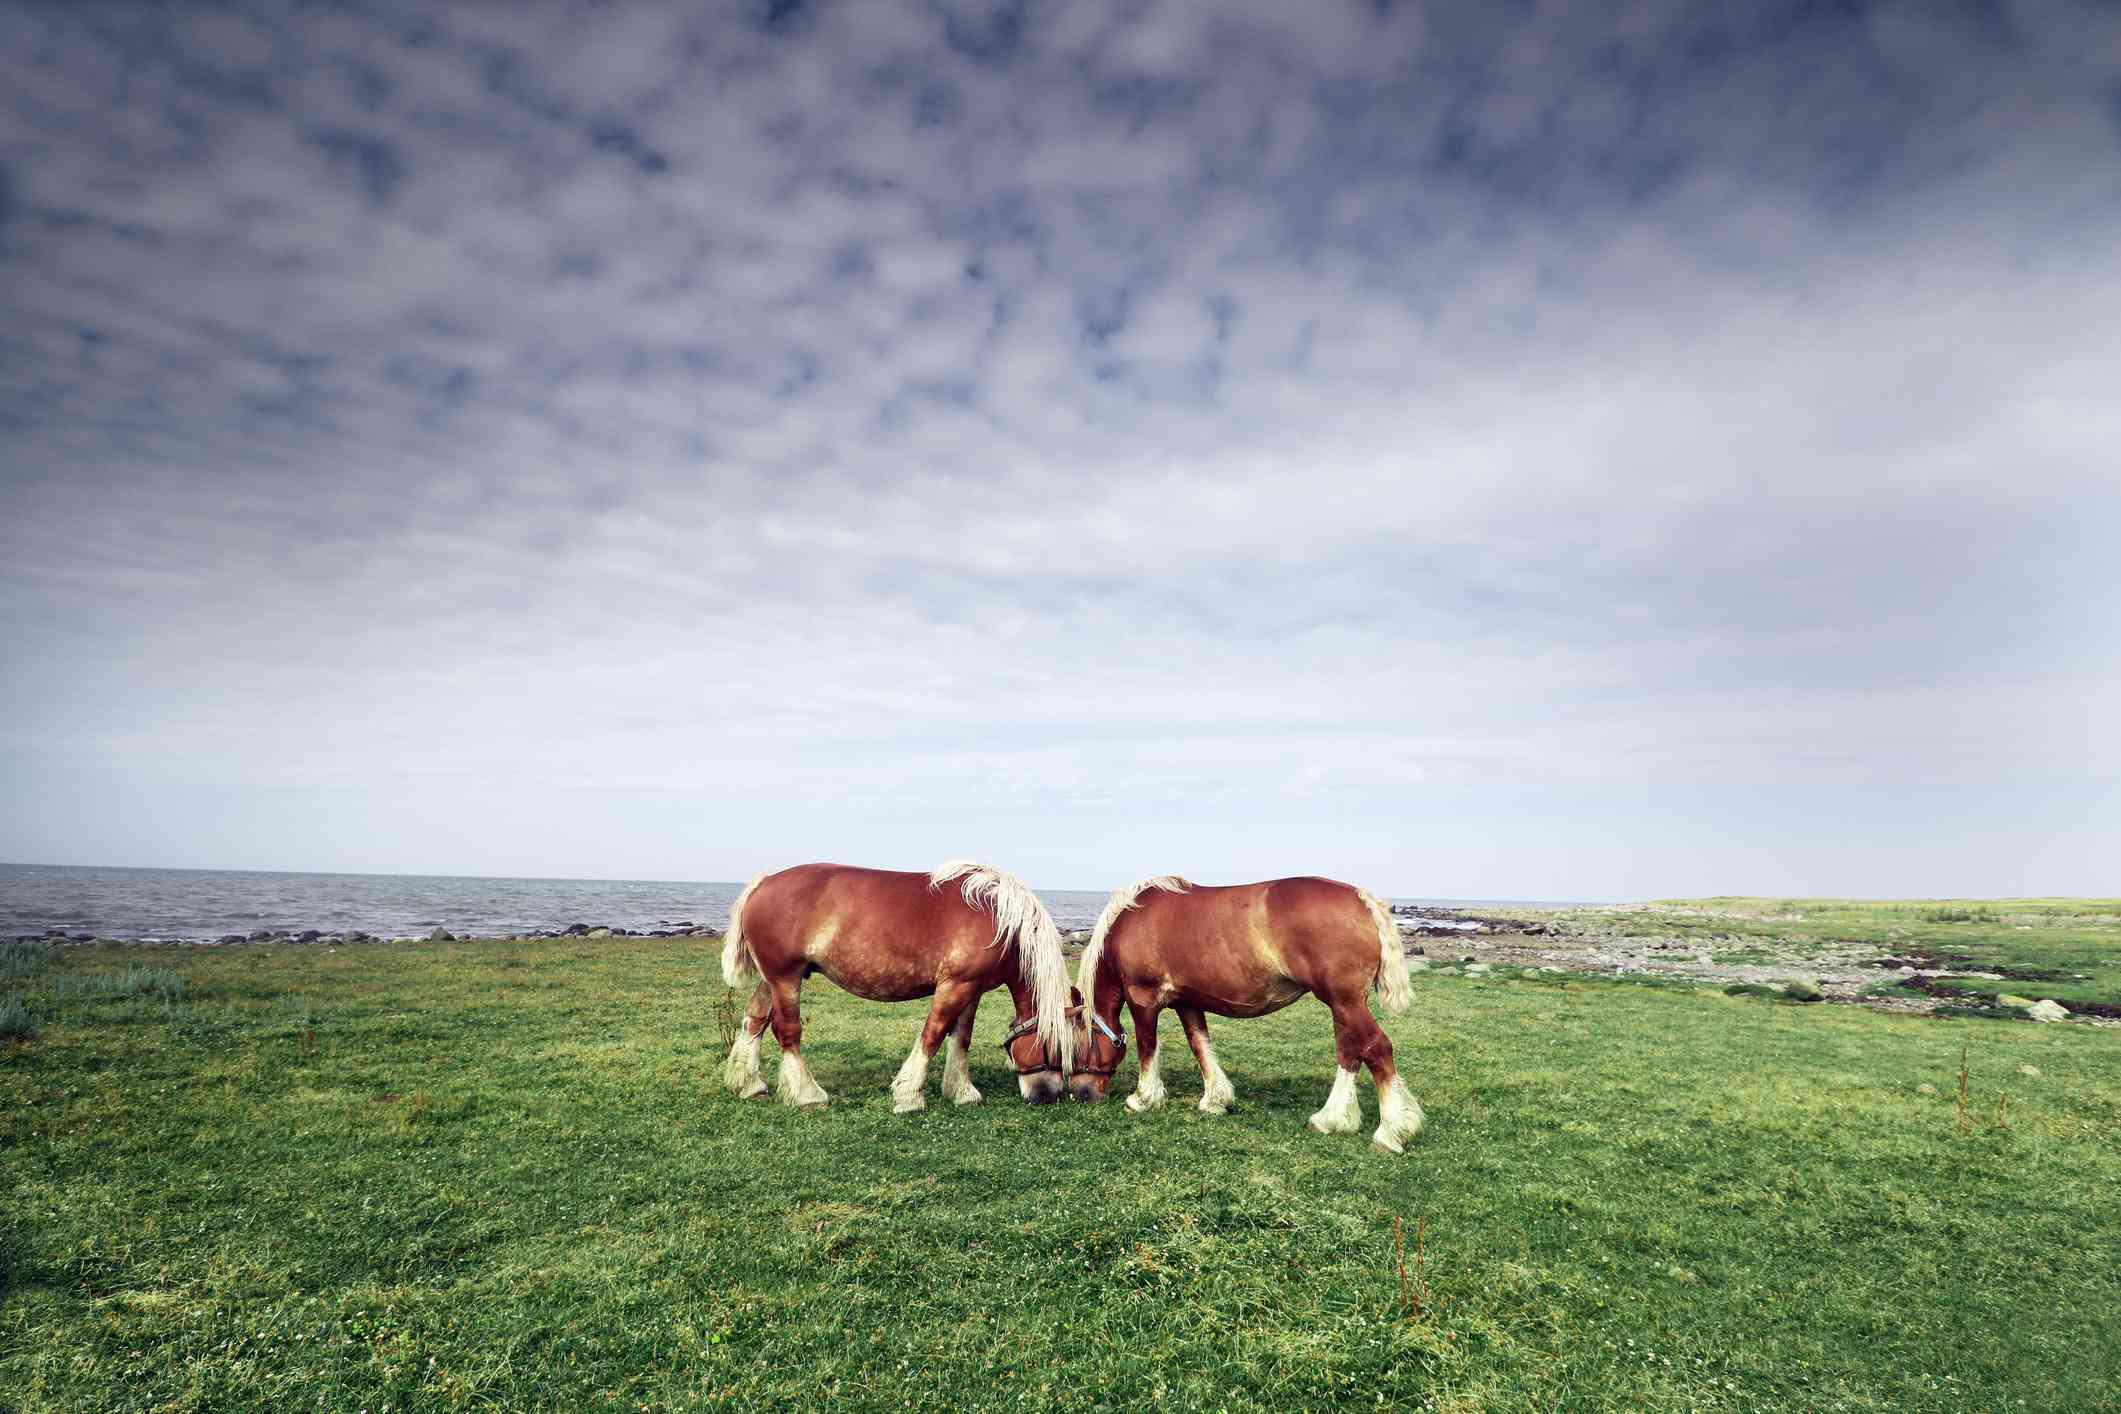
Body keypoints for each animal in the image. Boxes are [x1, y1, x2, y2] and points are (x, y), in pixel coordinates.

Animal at [721, 856, 1077, 1110]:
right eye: (1059, 1049)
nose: (1049, 1095)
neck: (999, 918)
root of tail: (763, 883)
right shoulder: (955, 985)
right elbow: (933, 1035)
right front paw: (909, 1096)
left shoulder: (972, 989)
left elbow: (960, 1038)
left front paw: (961, 1092)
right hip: (785, 978)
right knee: (787, 1031)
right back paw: (808, 1094)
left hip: (772, 979)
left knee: (754, 1020)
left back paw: (749, 1085)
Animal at [1060, 873, 1425, 1161]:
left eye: (1075, 1050)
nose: (1081, 1093)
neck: (1133, 921)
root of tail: (1362, 899)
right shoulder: (1188, 1003)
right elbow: (1200, 1045)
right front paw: (1215, 1100)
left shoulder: (1143, 999)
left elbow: (1148, 1046)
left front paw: (1142, 1098)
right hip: (1342, 1005)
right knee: (1350, 1053)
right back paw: (1331, 1119)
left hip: (1345, 1002)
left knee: (1376, 1048)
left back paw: (1389, 1132)